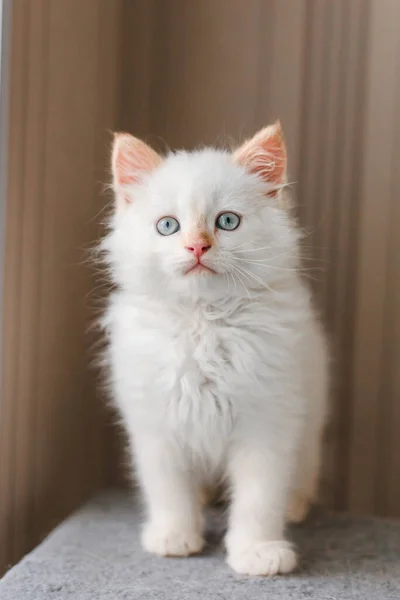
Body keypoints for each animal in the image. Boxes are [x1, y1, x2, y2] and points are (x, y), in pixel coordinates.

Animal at [102, 123, 328, 576]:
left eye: (227, 221)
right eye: (168, 226)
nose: (197, 247)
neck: (203, 321)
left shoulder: (269, 422)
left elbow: (259, 499)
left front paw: (258, 553)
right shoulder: (156, 425)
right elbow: (168, 490)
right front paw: (174, 537)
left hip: (310, 424)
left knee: (303, 474)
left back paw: (295, 507)